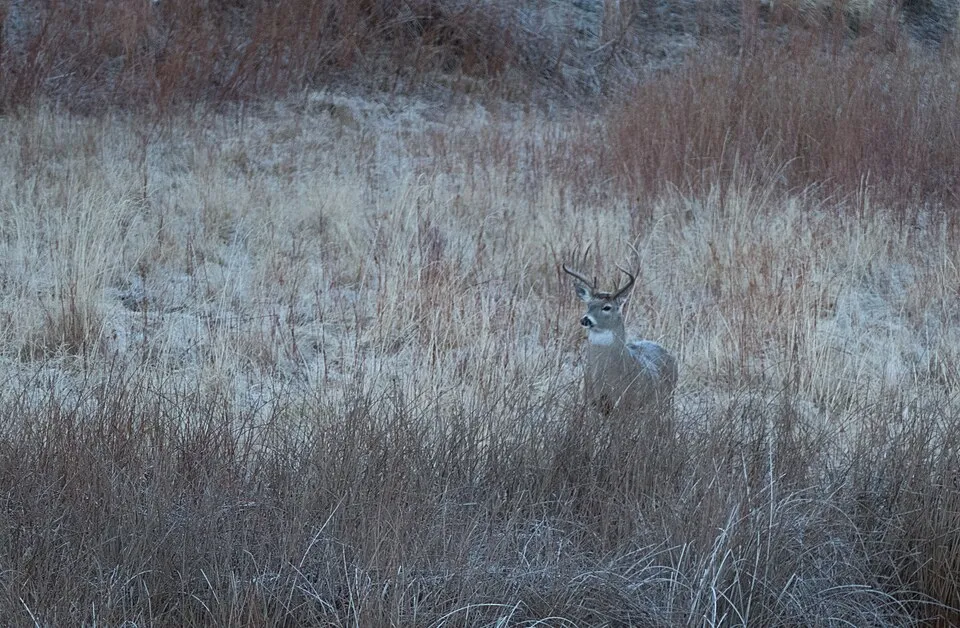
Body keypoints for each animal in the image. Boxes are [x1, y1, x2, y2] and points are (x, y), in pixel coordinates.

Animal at [562, 264, 678, 416]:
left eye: (607, 307)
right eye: (589, 305)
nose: (585, 319)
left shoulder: (625, 403)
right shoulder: (590, 402)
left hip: (666, 401)